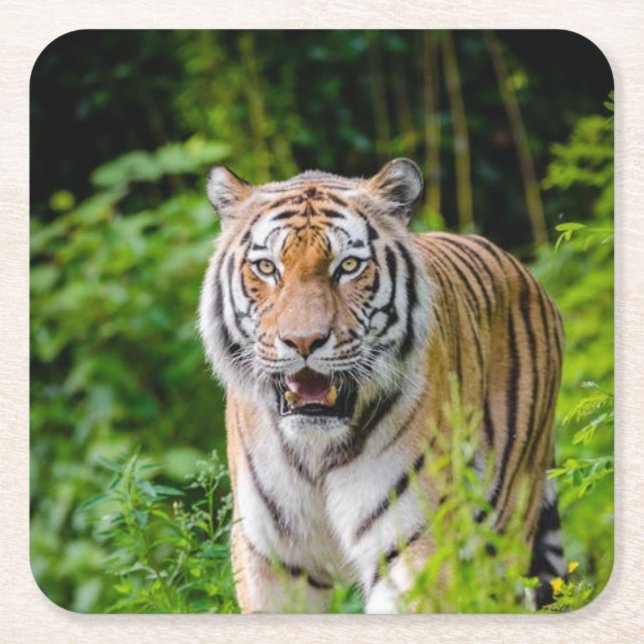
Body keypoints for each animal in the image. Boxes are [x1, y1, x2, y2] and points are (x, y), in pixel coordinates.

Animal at [198, 158, 565, 613]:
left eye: (348, 266)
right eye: (267, 268)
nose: (303, 341)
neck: (316, 453)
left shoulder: (414, 545)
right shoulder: (271, 559)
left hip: (503, 532)